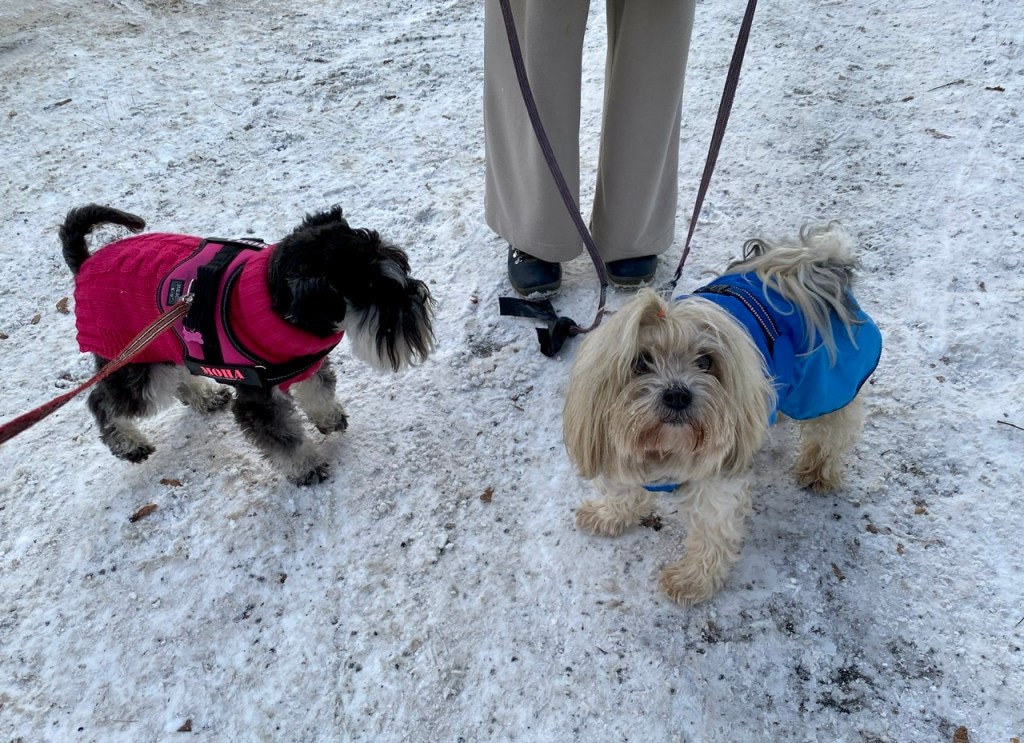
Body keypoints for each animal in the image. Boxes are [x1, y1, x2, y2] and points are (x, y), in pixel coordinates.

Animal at [61, 203, 434, 485]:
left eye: (399, 262)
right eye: (374, 290)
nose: (419, 295)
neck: (275, 303)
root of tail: (84, 263)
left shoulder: (308, 364)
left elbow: (319, 391)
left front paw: (329, 419)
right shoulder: (258, 399)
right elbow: (284, 440)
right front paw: (306, 468)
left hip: (163, 346)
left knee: (178, 377)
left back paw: (206, 398)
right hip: (137, 364)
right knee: (102, 401)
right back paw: (128, 444)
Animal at [563, 223, 882, 605]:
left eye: (705, 361)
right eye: (640, 362)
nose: (677, 394)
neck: (665, 450)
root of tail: (811, 264)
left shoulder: (717, 484)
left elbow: (711, 535)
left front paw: (692, 580)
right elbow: (623, 493)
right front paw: (609, 515)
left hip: (827, 386)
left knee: (832, 431)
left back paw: (818, 470)